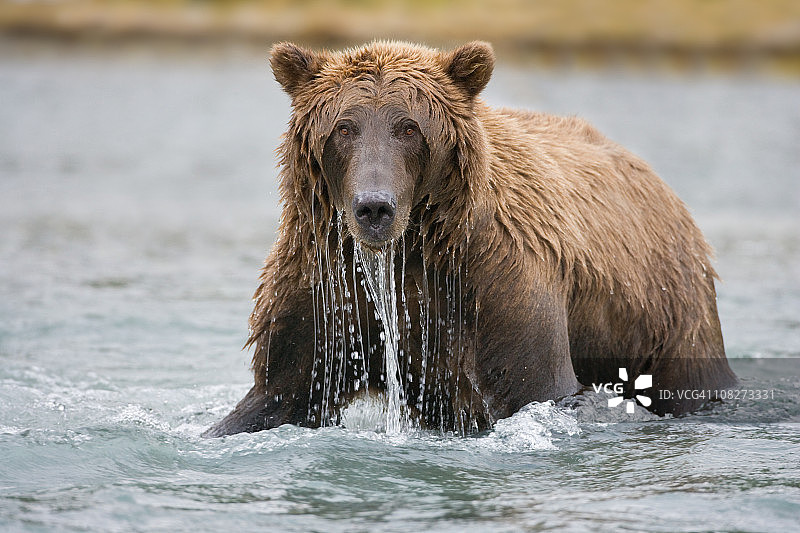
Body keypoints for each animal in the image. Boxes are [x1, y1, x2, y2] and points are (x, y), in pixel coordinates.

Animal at [203, 40, 737, 437]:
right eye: (344, 127)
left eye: (408, 127)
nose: (374, 207)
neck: (410, 250)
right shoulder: (326, 287)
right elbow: (278, 391)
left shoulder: (500, 286)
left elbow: (533, 388)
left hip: (666, 310)